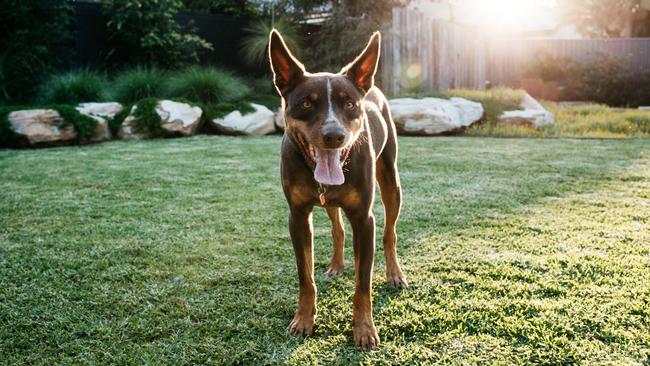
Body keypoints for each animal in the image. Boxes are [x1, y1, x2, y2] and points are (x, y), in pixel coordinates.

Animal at [268, 28, 404, 348]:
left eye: (350, 104)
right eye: (306, 103)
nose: (334, 136)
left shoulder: (364, 219)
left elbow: (363, 283)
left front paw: (364, 329)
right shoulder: (297, 217)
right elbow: (305, 276)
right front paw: (303, 320)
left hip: (391, 181)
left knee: (390, 233)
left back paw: (394, 273)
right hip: (329, 202)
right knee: (337, 228)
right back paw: (336, 265)